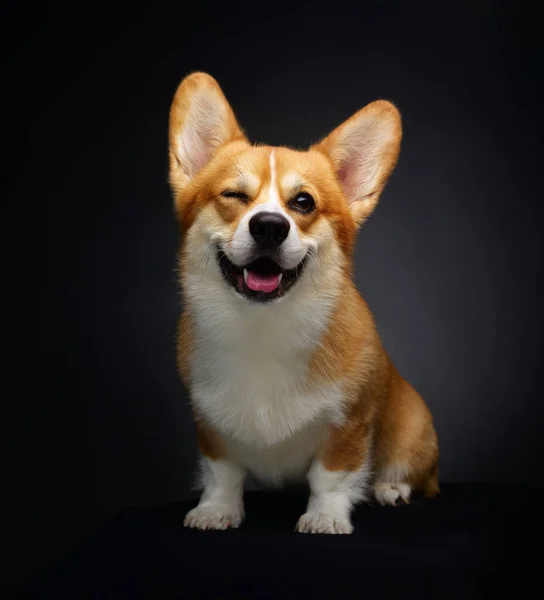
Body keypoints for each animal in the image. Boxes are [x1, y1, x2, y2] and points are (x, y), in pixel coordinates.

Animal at [170, 71, 438, 536]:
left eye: (303, 202)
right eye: (234, 195)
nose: (269, 226)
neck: (263, 329)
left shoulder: (348, 424)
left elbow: (331, 476)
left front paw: (325, 517)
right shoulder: (208, 424)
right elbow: (222, 472)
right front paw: (215, 510)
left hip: (414, 428)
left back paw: (390, 489)